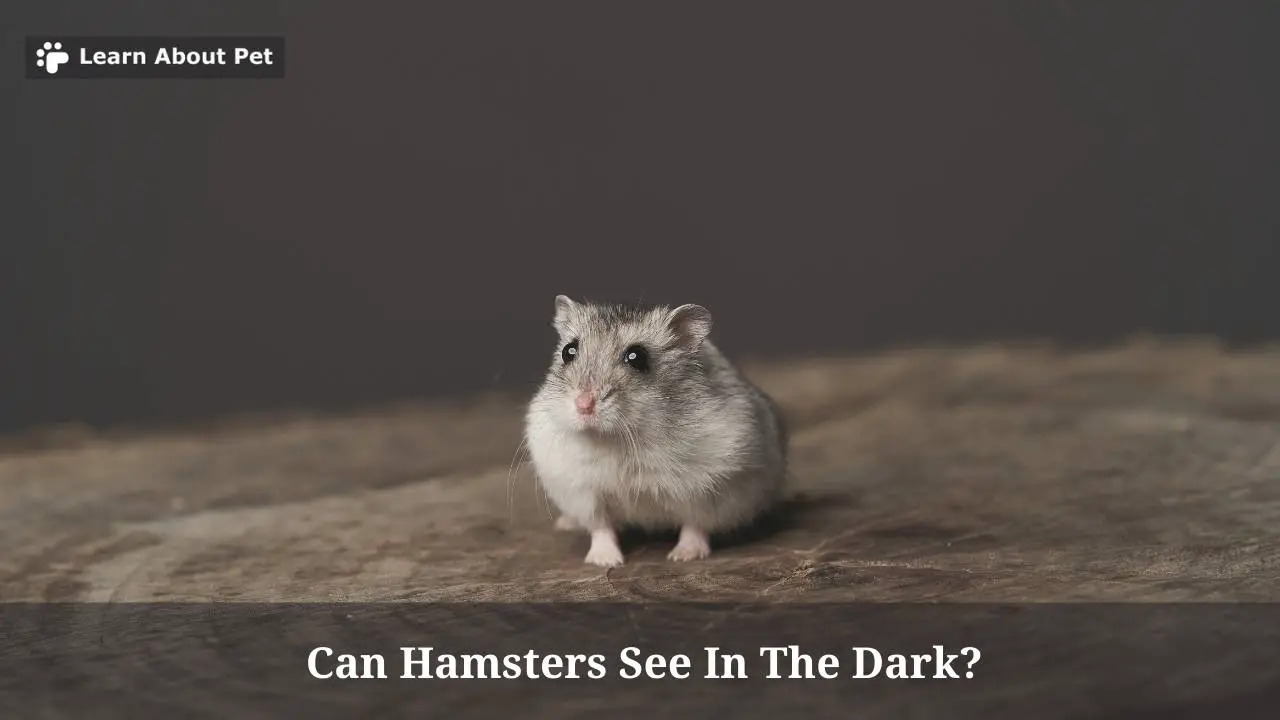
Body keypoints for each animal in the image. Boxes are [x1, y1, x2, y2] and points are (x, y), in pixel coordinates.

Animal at [523, 295, 788, 567]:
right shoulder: (584, 492)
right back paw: (565, 524)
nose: (583, 404)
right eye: (568, 351)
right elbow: (601, 527)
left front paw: (683, 556)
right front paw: (605, 561)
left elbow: (695, 526)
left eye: (637, 357)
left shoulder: (707, 489)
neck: (617, 439)